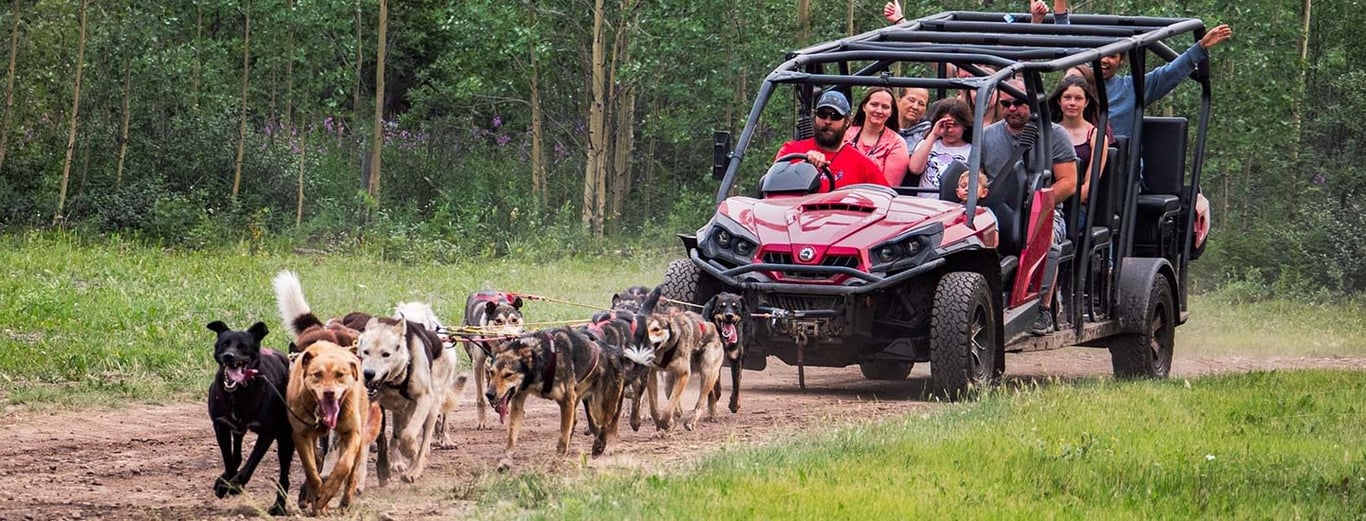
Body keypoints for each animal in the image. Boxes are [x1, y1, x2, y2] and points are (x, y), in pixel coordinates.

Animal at [206, 318, 295, 514]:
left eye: (243, 346)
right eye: (224, 344)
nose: (229, 356)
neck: (238, 393)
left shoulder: (268, 432)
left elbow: (251, 463)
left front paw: (235, 485)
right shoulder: (220, 425)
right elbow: (229, 459)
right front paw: (225, 482)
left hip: (286, 438)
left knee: (284, 476)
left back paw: (279, 506)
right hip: (238, 429)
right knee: (237, 454)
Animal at [285, 339, 377, 514]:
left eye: (340, 374)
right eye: (317, 374)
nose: (329, 393)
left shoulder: (351, 433)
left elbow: (343, 466)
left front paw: (327, 493)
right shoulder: (301, 435)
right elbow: (311, 471)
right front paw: (319, 500)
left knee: (352, 473)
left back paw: (345, 502)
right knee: (317, 459)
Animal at [639, 285, 726, 429]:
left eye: (656, 329)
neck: (665, 351)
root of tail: (710, 325)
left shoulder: (683, 374)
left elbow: (669, 407)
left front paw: (665, 422)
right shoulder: (652, 374)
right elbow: (654, 407)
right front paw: (661, 421)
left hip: (707, 370)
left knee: (701, 401)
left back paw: (692, 420)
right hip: (668, 379)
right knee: (679, 405)